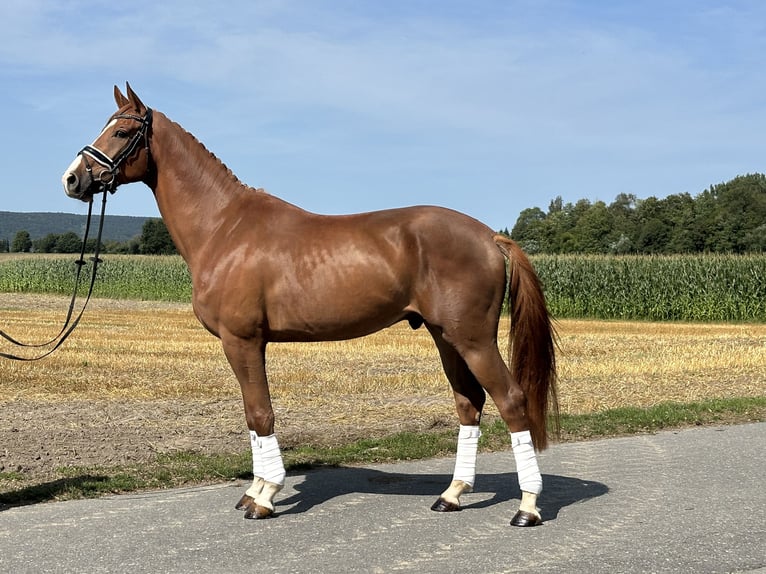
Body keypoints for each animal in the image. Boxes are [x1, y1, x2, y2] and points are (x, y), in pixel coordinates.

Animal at [64, 83, 560, 528]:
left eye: (123, 132)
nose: (72, 178)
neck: (224, 227)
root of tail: (489, 236)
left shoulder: (242, 341)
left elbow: (259, 413)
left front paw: (264, 497)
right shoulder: (248, 344)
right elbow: (253, 417)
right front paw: (253, 492)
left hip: (473, 339)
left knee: (511, 401)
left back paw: (527, 508)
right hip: (446, 337)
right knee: (469, 403)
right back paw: (452, 496)